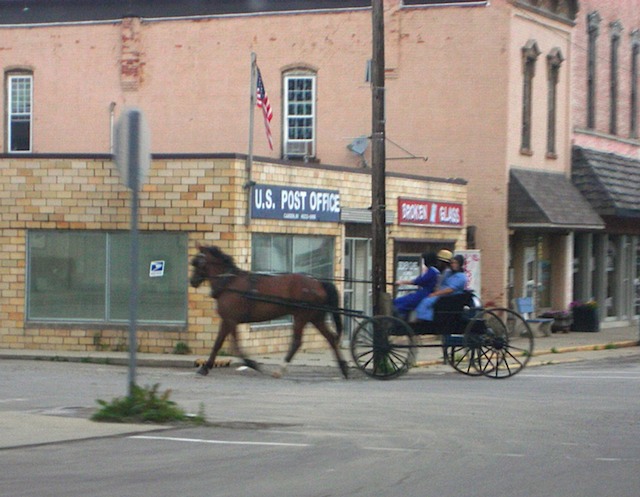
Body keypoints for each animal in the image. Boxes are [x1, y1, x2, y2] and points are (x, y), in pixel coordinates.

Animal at [190, 246, 350, 378]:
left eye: (198, 262)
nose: (192, 281)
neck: (229, 283)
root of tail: (318, 283)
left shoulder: (230, 320)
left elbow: (224, 344)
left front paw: (249, 363)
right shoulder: (229, 320)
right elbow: (225, 343)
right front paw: (208, 366)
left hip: (301, 317)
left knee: (297, 342)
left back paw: (281, 369)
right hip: (315, 318)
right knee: (331, 338)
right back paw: (343, 368)